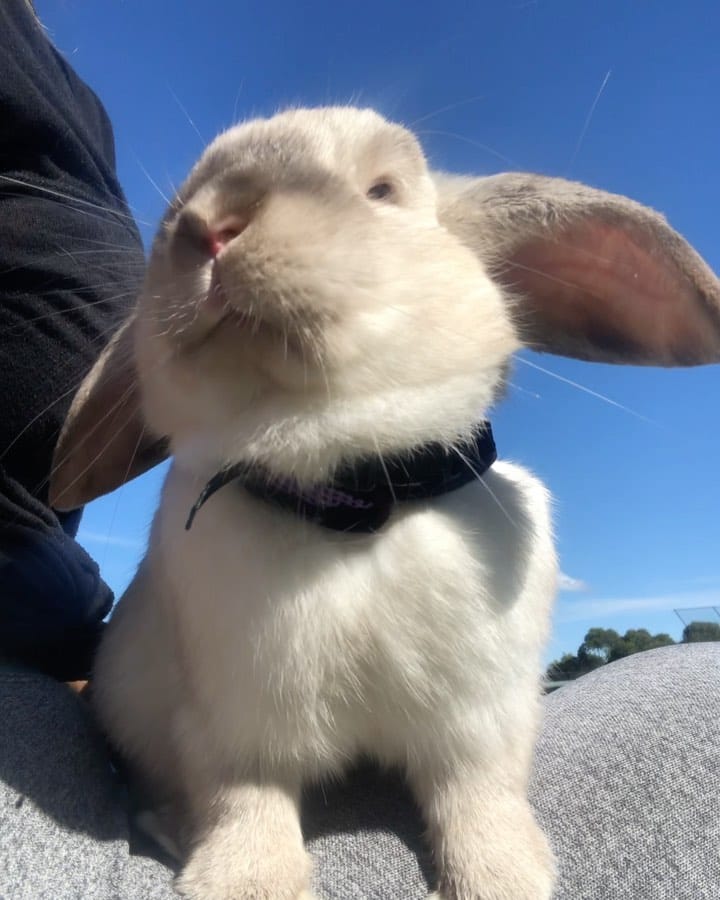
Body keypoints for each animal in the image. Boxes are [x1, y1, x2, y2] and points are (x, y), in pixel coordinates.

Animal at [49, 106, 720, 900]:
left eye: (383, 191)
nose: (208, 225)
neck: (350, 500)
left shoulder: (480, 722)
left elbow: (480, 795)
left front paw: (504, 876)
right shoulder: (231, 729)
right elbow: (244, 803)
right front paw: (245, 884)